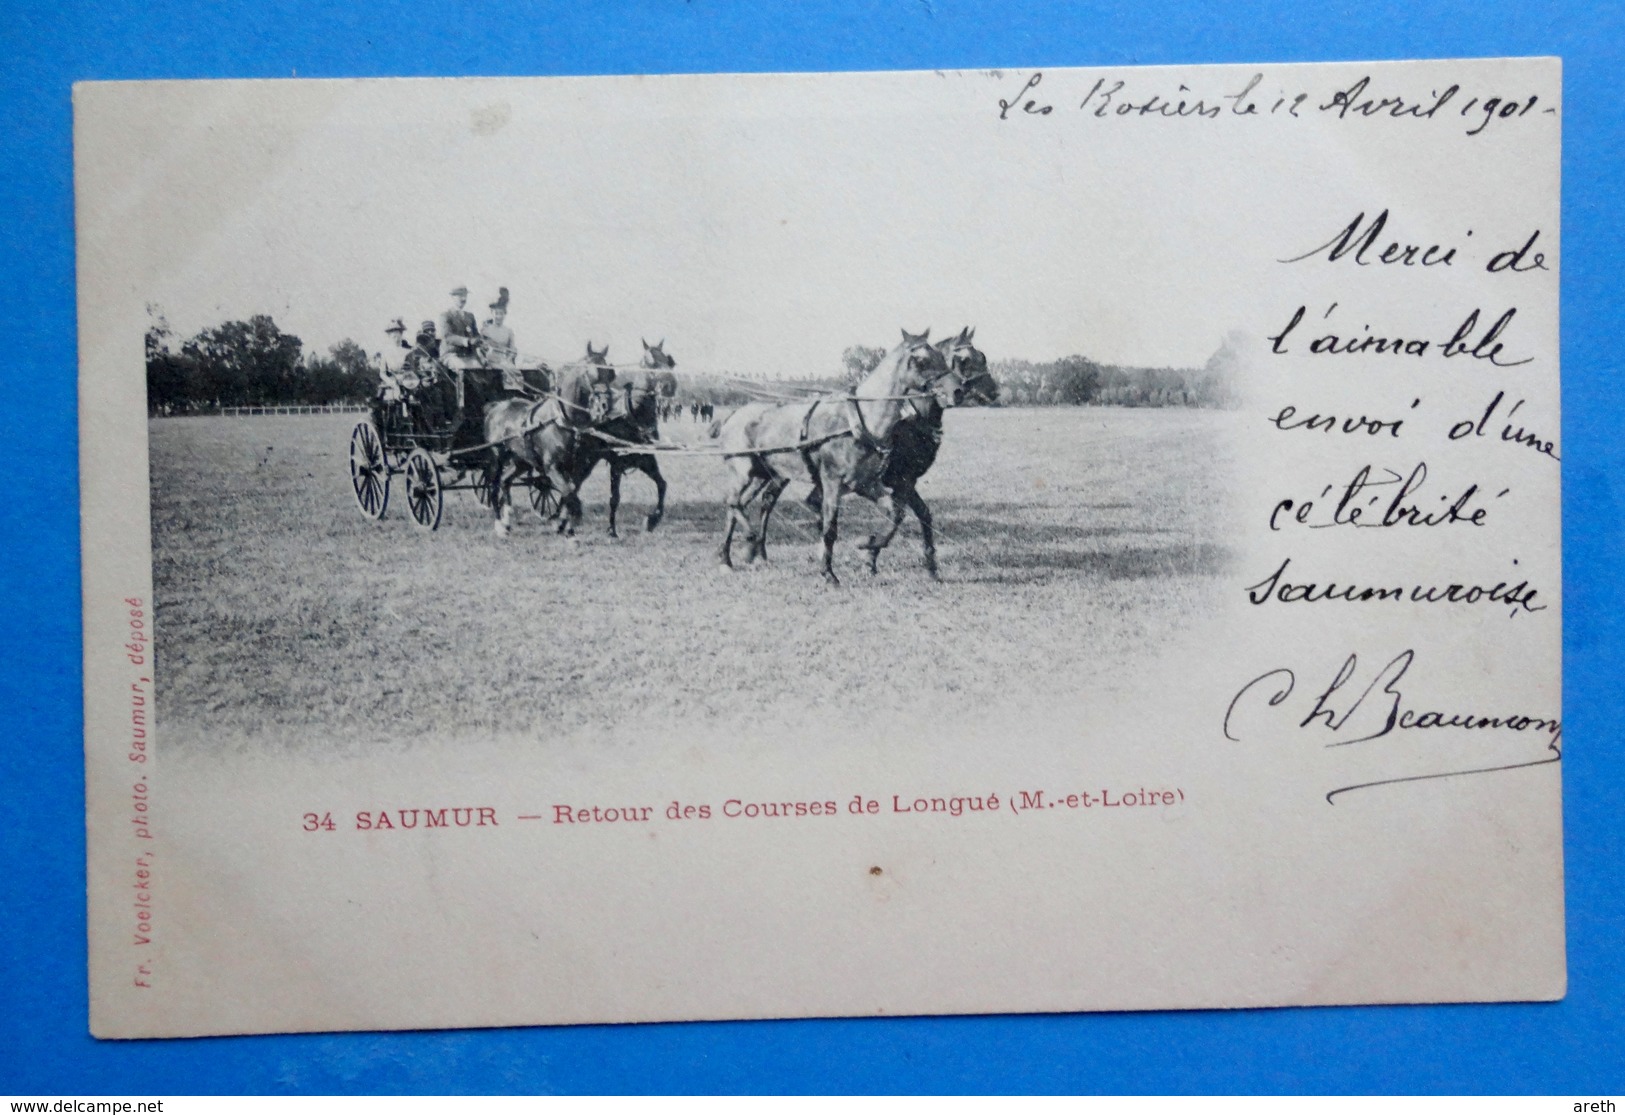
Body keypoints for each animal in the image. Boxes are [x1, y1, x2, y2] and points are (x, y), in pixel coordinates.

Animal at [481, 344, 614, 536]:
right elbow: (569, 494)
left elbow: (570, 492)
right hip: (497, 456)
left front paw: (563, 524)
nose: (605, 405)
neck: (563, 421)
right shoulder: (552, 467)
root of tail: (496, 407)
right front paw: (568, 528)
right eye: (591, 372)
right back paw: (499, 524)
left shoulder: (575, 468)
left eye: (610, 372)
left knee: (506, 480)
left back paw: (506, 520)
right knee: (493, 485)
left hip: (522, 460)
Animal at [572, 336, 679, 536]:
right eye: (649, 362)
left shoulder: (646, 460)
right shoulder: (617, 463)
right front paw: (612, 529)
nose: (670, 385)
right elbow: (615, 497)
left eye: (668, 360)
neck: (634, 416)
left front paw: (652, 520)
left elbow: (662, 484)